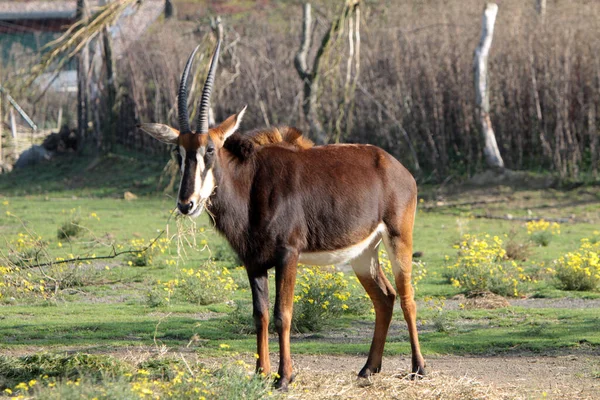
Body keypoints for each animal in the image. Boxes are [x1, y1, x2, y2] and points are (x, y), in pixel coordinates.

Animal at [138, 39, 424, 390]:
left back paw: (418, 369)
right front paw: (260, 372)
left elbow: (282, 314)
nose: (186, 204)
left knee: (407, 297)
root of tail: (398, 169)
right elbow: (259, 315)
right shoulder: (253, 261)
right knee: (384, 298)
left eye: (210, 150)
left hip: (398, 238)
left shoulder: (288, 254)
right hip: (364, 252)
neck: (251, 185)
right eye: (179, 151)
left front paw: (284, 377)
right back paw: (368, 368)